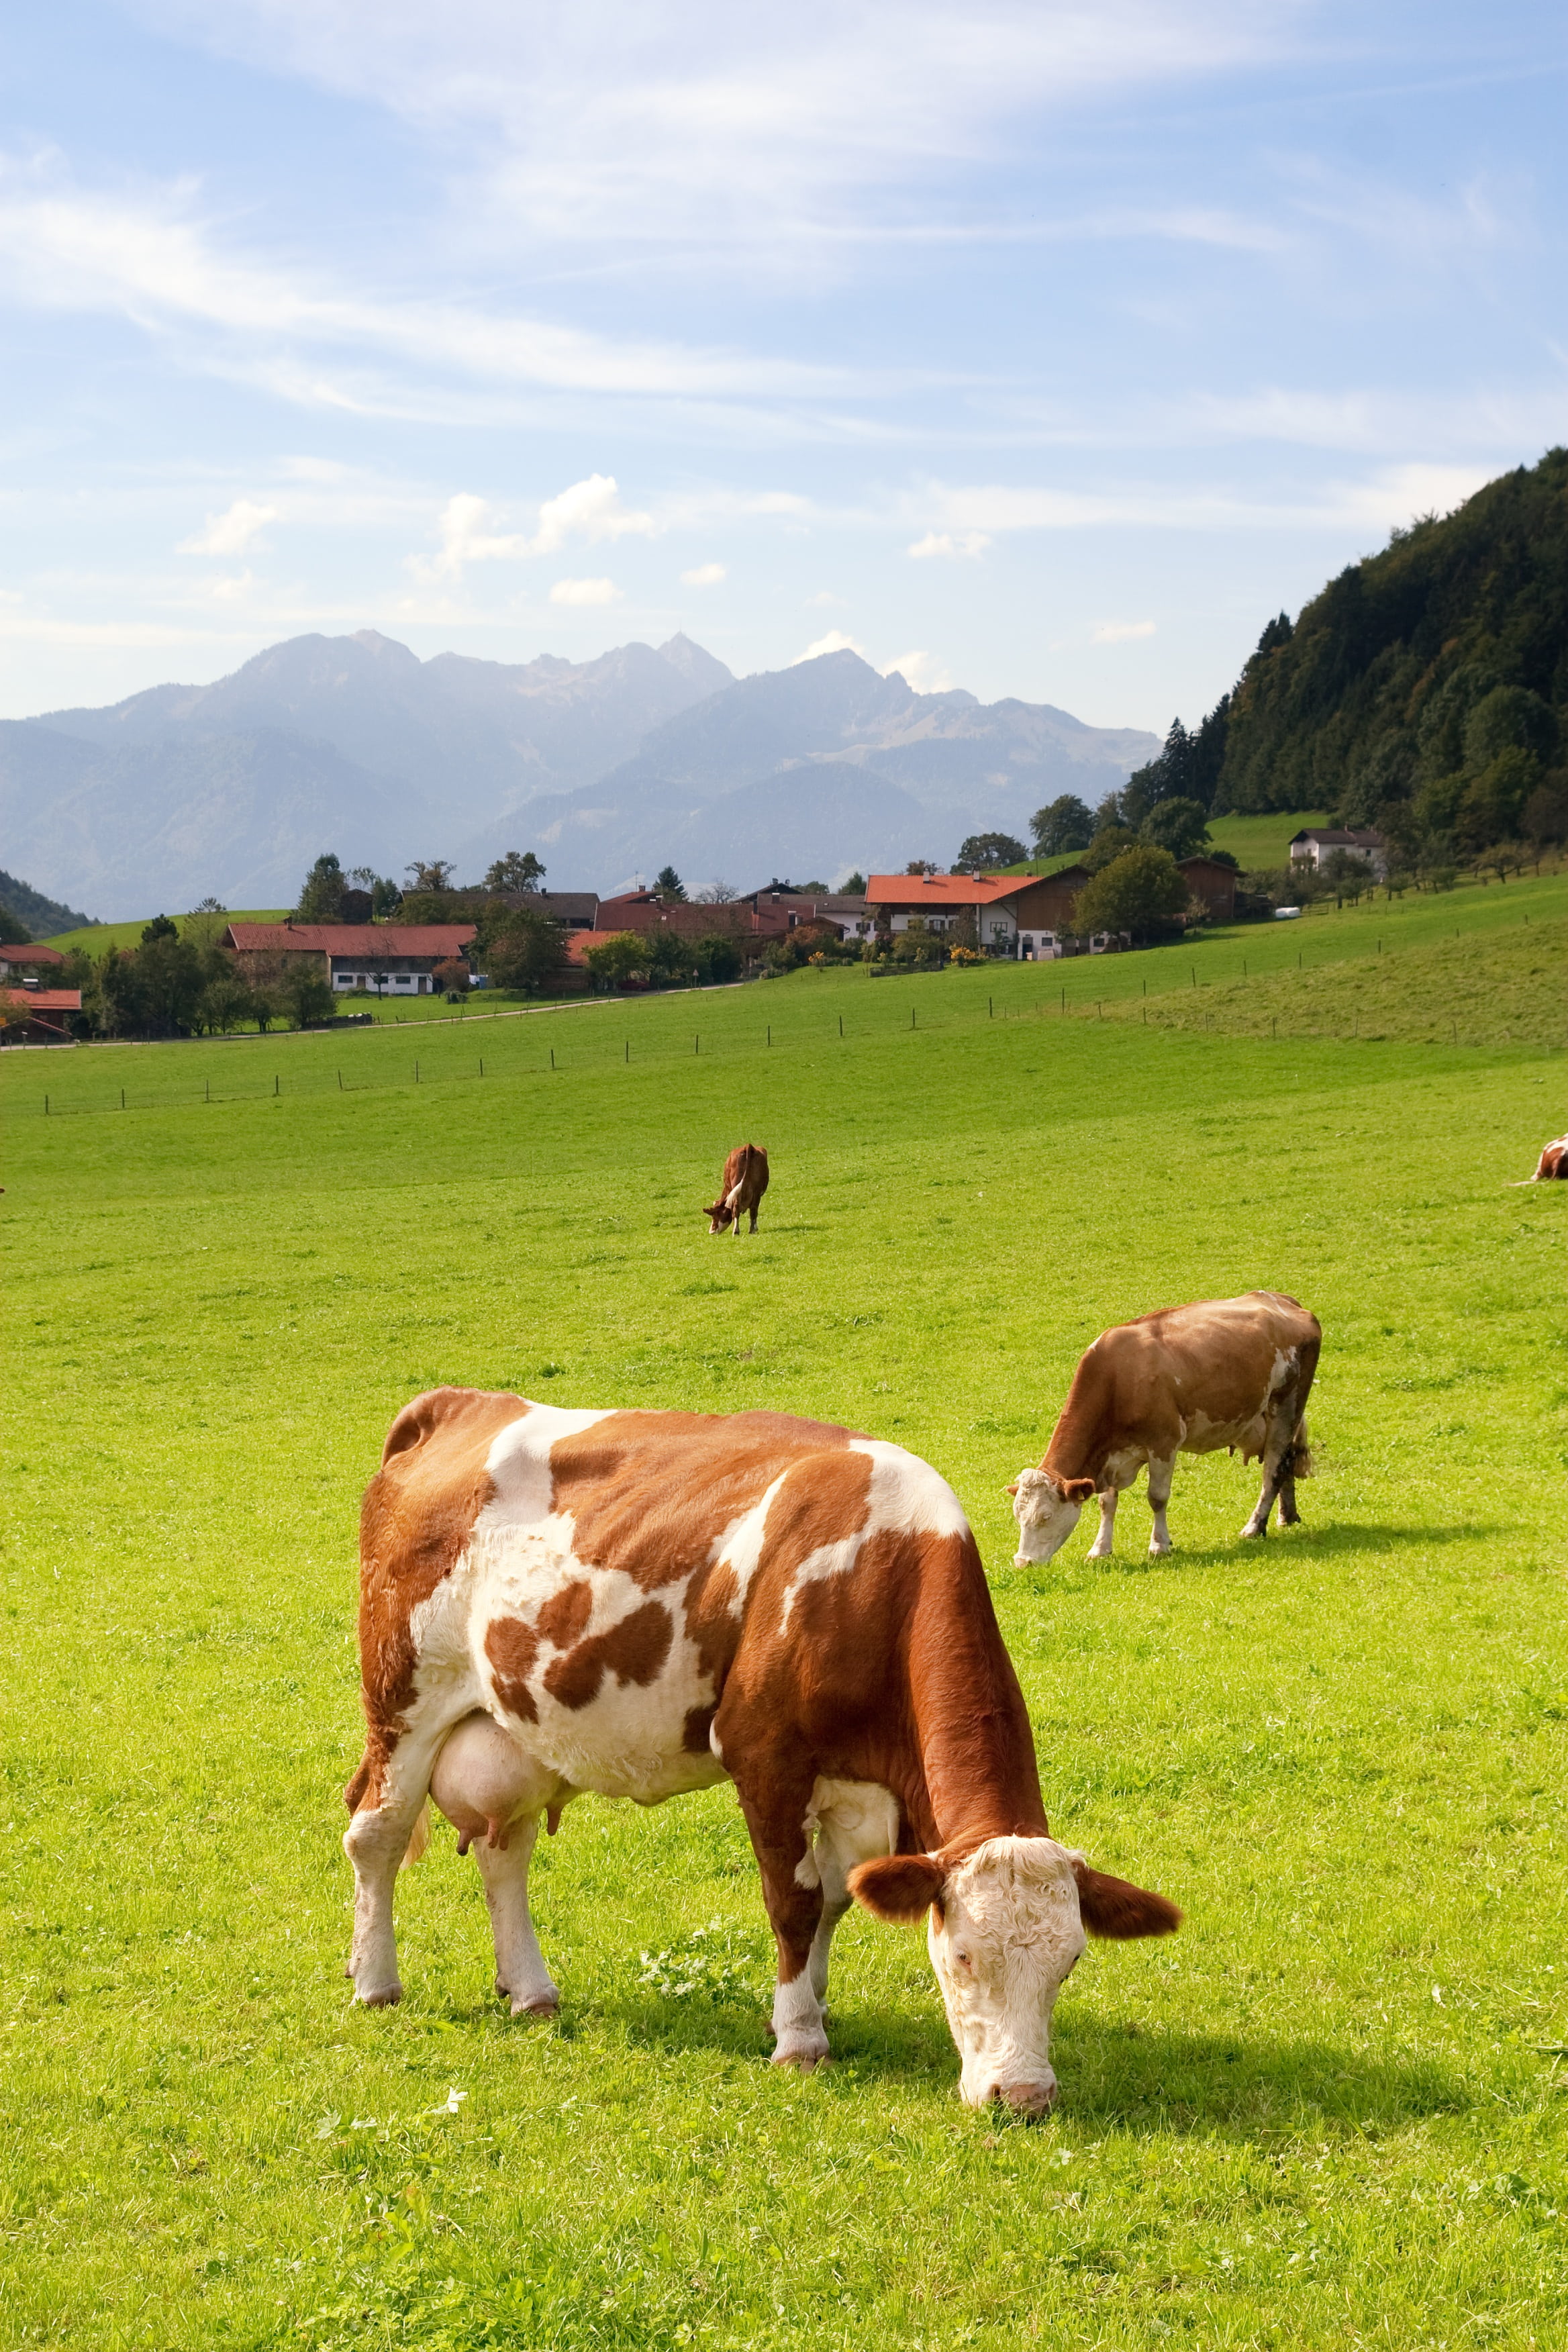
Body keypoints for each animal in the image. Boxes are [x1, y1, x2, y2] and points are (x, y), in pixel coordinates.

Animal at [344, 1390, 1179, 2112]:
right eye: (964, 1956)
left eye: (1069, 1963)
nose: (1025, 2097)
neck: (875, 1574)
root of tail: (462, 1403)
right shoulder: (767, 1758)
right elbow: (793, 1901)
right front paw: (800, 2038)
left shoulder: (856, 1791)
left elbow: (835, 1899)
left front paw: (807, 2003)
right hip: (403, 1696)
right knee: (375, 1836)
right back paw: (376, 1982)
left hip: (510, 1724)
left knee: (504, 1851)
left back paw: (530, 1990)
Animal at [706, 1142, 768, 1235]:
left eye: (714, 1216)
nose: (711, 1232)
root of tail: (748, 1146)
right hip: (756, 1190)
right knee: (753, 1209)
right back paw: (750, 1230)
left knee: (737, 1209)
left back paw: (736, 1231)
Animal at [1009, 1291, 1321, 1565]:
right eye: (1018, 1517)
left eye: (1046, 1516)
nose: (1023, 1563)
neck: (1118, 1379)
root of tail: (1283, 1300)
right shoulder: (1112, 1457)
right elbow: (1107, 1502)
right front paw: (1100, 1549)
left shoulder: (1164, 1443)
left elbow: (1157, 1498)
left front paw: (1159, 1545)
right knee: (1286, 1461)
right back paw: (1286, 1516)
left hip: (1287, 1405)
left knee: (1273, 1469)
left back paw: (1254, 1527)